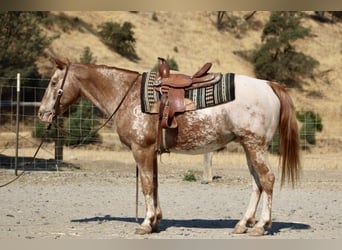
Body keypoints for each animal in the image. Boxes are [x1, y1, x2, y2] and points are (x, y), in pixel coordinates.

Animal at [36, 59, 300, 236]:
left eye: (53, 82)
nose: (42, 114)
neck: (127, 96)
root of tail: (268, 85)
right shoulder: (151, 152)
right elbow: (154, 184)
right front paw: (156, 221)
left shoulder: (141, 150)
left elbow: (145, 184)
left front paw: (146, 223)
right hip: (248, 146)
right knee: (257, 183)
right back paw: (242, 224)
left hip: (255, 145)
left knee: (267, 179)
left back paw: (260, 226)